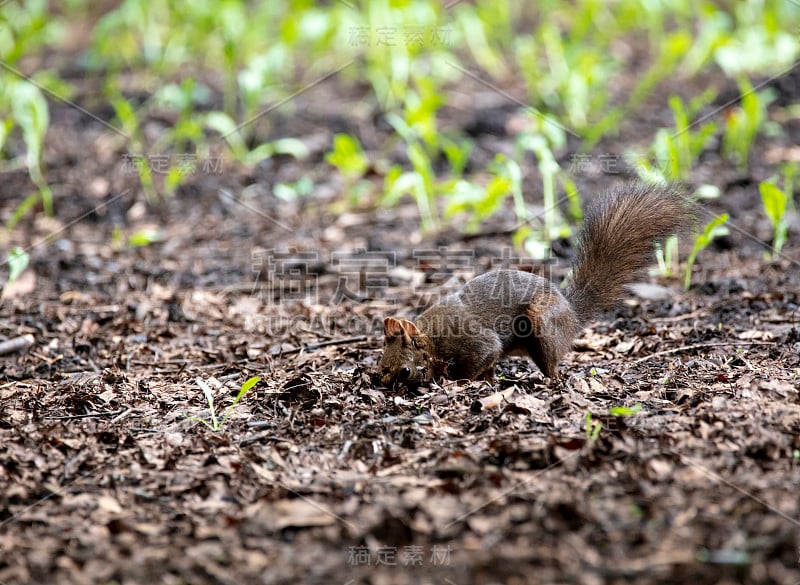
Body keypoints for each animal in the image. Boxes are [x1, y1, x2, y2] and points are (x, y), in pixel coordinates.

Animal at [376, 180, 692, 386]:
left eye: (404, 370)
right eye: (380, 365)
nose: (382, 384)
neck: (431, 338)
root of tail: (571, 314)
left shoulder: (470, 339)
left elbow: (479, 357)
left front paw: (455, 381)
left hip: (543, 327)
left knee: (552, 366)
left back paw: (550, 381)